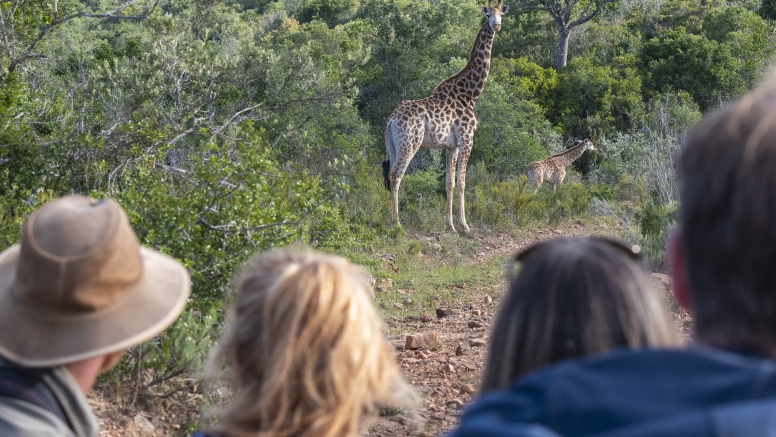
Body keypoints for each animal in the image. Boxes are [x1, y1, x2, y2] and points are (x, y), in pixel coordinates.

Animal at [382, 0, 510, 232]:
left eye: (501, 14)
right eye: (488, 14)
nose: (496, 26)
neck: (470, 94)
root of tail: (391, 119)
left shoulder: (451, 146)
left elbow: (449, 183)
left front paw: (450, 225)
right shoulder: (467, 140)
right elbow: (462, 183)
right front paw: (465, 225)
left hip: (393, 145)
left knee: (389, 174)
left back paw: (390, 219)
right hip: (410, 143)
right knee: (396, 175)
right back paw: (397, 223)